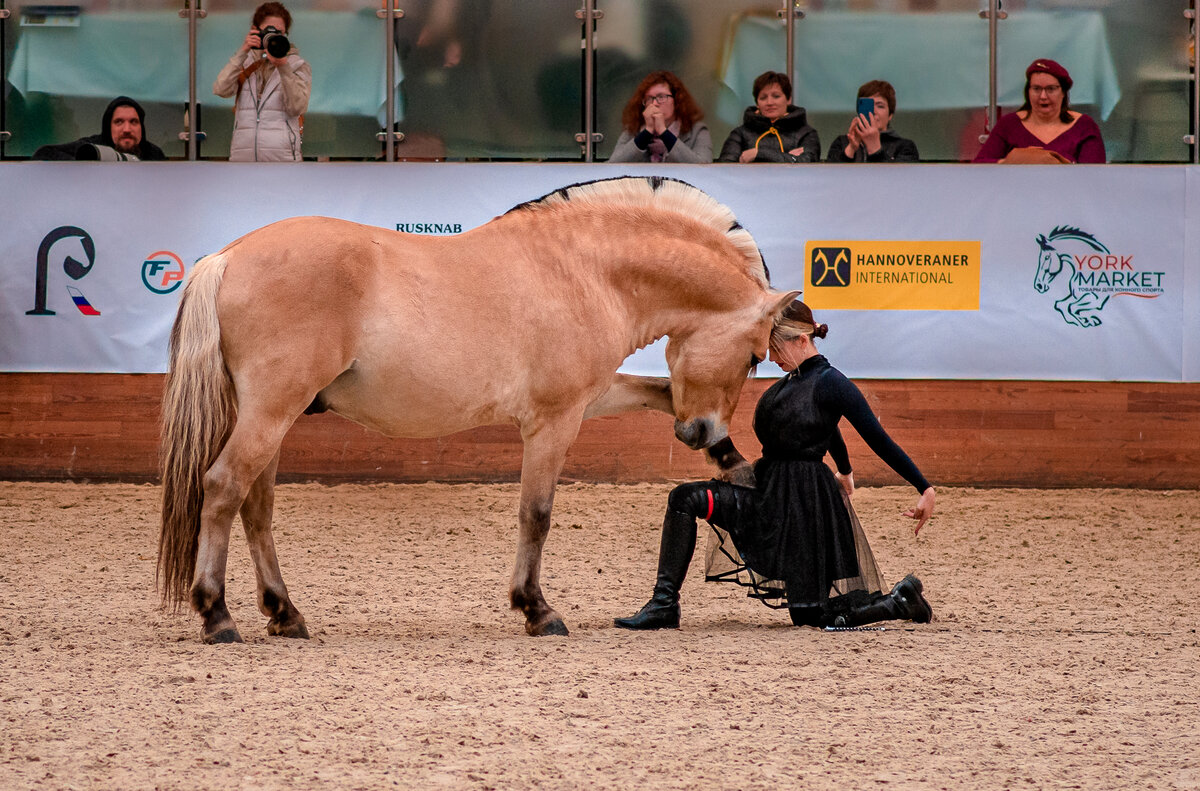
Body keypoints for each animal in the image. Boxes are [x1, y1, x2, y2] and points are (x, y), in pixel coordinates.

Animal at [157, 175, 796, 643]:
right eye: (753, 357)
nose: (700, 432)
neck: (585, 271)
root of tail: (229, 255)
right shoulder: (553, 421)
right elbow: (536, 514)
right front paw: (536, 609)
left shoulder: (588, 399)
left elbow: (655, 392)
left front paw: (734, 462)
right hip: (269, 413)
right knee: (223, 488)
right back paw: (217, 615)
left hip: (272, 416)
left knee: (255, 508)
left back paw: (284, 613)